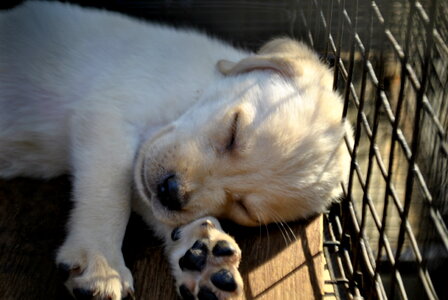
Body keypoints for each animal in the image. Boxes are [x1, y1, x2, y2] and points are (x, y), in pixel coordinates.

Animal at [0, 1, 354, 298]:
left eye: (243, 208)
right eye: (233, 132)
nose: (171, 192)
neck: (189, 98)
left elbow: (156, 211)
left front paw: (201, 254)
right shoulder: (106, 116)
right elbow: (109, 195)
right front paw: (101, 264)